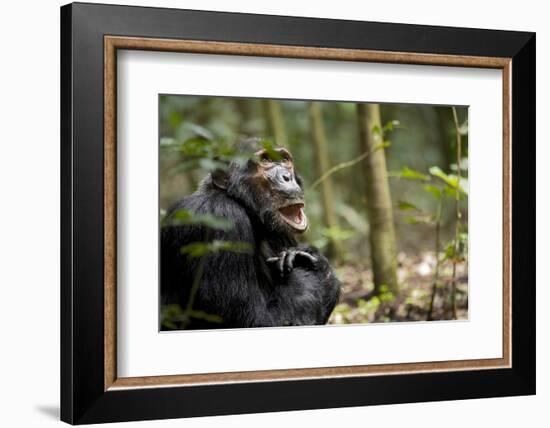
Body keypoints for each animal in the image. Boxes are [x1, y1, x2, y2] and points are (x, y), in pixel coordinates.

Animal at [161, 139, 340, 330]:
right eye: (265, 160)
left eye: (284, 160)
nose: (287, 176)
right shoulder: (221, 217)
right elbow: (255, 320)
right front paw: (303, 264)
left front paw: (316, 260)